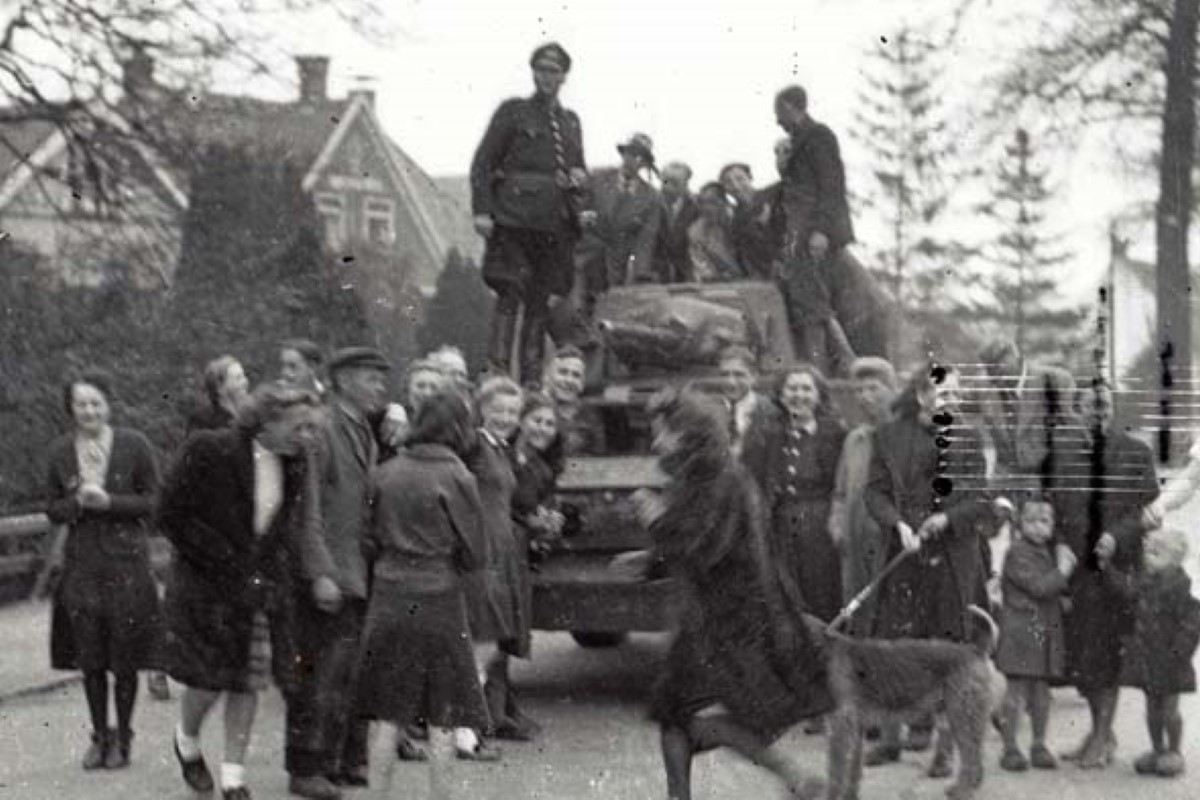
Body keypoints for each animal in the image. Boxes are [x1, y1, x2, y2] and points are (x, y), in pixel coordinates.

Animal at [816, 606, 993, 800]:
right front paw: (850, 795)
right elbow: (852, 769)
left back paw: (962, 790)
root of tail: (975, 649)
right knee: (975, 752)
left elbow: (836, 772)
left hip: (962, 715)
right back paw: (971, 784)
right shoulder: (854, 727)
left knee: (971, 755)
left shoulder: (840, 726)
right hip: (951, 715)